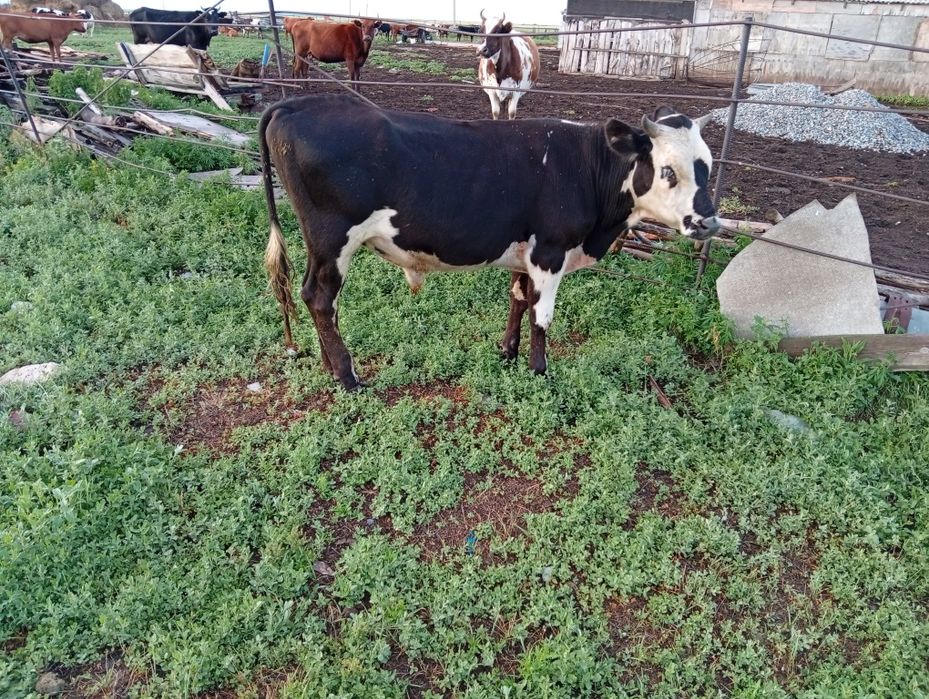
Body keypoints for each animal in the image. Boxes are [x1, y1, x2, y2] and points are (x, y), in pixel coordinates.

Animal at [260, 95, 720, 390]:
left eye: (708, 165)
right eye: (668, 170)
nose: (708, 221)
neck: (585, 167)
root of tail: (298, 103)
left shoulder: (525, 252)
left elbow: (518, 298)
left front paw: (508, 353)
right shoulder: (550, 250)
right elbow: (542, 316)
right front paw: (539, 371)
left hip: (319, 245)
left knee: (313, 296)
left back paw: (329, 366)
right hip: (334, 239)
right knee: (322, 298)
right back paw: (348, 376)